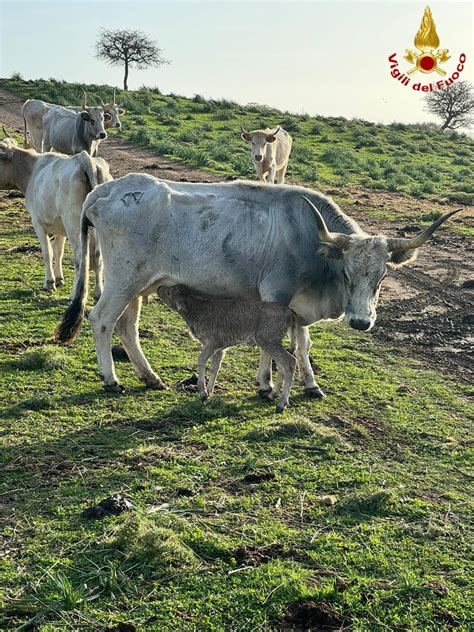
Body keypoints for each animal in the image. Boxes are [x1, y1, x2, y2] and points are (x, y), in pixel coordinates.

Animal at [0, 144, 112, 296]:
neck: (32, 169)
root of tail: (84, 159)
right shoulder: (60, 227)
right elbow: (58, 251)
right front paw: (59, 279)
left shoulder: (38, 223)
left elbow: (47, 252)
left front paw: (49, 282)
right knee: (98, 255)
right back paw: (98, 293)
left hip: (73, 223)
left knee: (80, 257)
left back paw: (75, 293)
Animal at [159, 284, 296, 412]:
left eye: (168, 292)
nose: (159, 287)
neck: (196, 311)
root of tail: (289, 311)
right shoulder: (220, 348)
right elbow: (214, 367)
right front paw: (209, 392)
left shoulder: (212, 342)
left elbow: (201, 360)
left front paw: (203, 392)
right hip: (273, 342)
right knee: (281, 366)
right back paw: (273, 395)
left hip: (268, 340)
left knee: (290, 361)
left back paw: (281, 404)